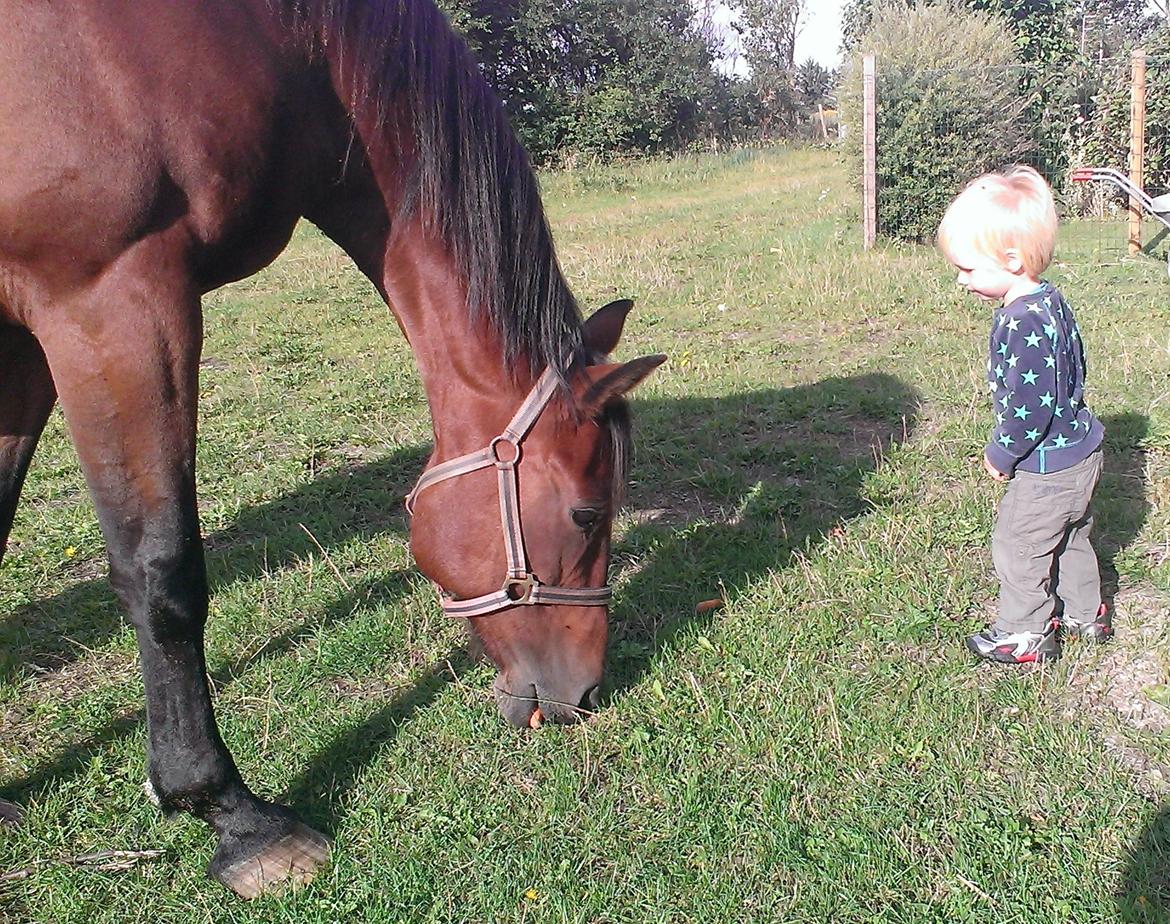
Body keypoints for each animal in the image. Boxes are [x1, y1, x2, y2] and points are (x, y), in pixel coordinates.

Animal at [0, 0, 664, 902]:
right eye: (587, 513)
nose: (586, 694)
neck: (286, 45)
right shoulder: (109, 299)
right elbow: (161, 572)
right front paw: (233, 816)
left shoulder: (20, 338)